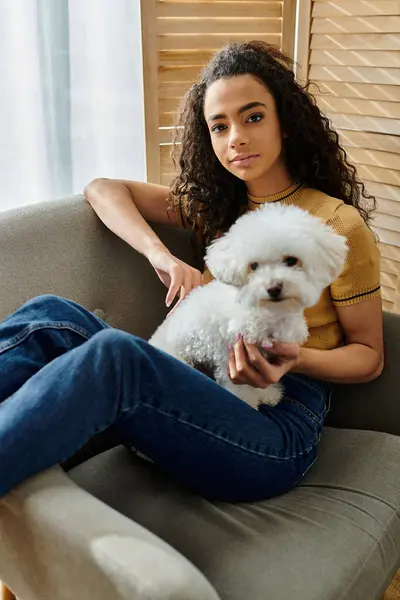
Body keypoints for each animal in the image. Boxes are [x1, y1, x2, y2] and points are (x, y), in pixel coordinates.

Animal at [150, 204, 346, 410]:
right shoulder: (229, 359)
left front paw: (268, 394)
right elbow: (241, 389)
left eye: (291, 260)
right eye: (254, 266)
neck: (268, 314)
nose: (273, 288)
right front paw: (249, 403)